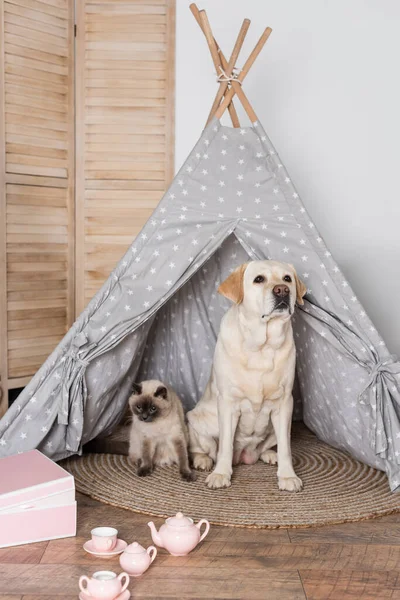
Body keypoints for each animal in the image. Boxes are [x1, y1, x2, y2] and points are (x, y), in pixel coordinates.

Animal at [188, 260, 306, 490]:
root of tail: (243, 455)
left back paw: (270, 455)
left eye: (287, 278)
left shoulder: (284, 403)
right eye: (259, 279)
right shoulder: (227, 403)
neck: (262, 346)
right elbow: (224, 445)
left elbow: (286, 448)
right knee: (203, 447)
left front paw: (287, 476)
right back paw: (203, 460)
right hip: (195, 419)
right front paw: (221, 474)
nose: (282, 290)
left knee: (268, 447)